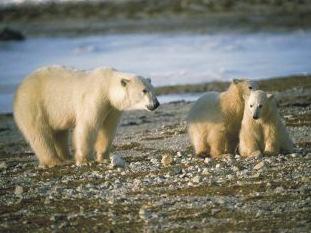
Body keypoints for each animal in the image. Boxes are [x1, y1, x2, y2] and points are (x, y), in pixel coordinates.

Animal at [13, 66, 160, 167]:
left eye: (153, 89)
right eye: (144, 90)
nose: (156, 104)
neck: (107, 84)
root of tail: (20, 87)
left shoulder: (112, 107)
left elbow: (108, 129)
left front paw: (103, 157)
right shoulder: (95, 97)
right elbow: (88, 126)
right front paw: (84, 160)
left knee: (59, 132)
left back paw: (66, 156)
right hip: (33, 105)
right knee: (39, 134)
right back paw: (54, 161)